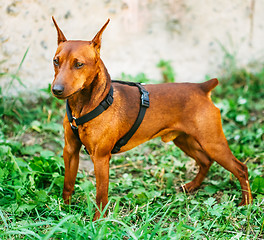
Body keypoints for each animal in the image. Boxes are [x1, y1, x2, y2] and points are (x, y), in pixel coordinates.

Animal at [51, 16, 252, 219]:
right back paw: (193, 186)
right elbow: (68, 184)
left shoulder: (100, 158)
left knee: (241, 168)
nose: (56, 90)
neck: (83, 106)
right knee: (205, 161)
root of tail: (202, 88)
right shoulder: (70, 151)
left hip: (212, 143)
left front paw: (98, 221)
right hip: (184, 140)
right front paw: (65, 211)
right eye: (55, 61)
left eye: (79, 64)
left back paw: (247, 204)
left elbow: (101, 195)